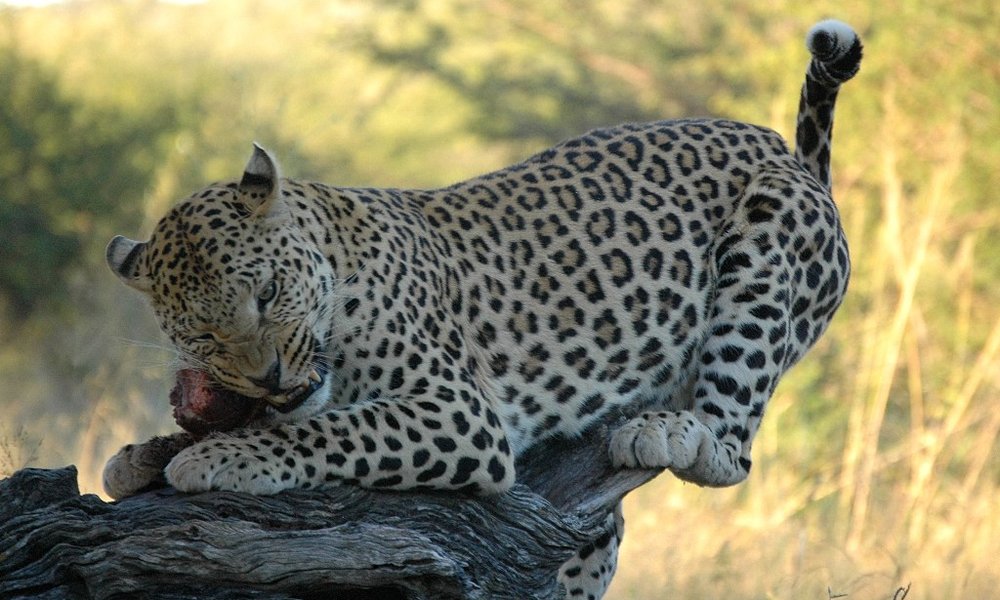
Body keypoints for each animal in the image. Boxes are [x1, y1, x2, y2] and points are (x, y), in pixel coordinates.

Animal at [102, 20, 862, 599]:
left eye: (266, 293)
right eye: (201, 336)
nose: (267, 377)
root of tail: (791, 156)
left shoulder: (459, 411)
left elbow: (327, 430)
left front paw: (223, 457)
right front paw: (145, 454)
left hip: (762, 254)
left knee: (733, 450)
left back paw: (675, 434)